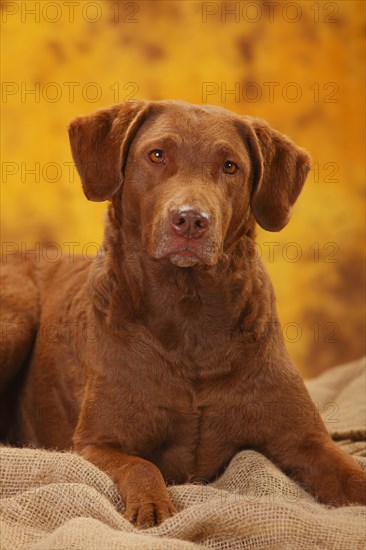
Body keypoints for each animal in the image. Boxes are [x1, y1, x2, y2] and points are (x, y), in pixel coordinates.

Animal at [0, 100, 366, 532]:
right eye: (157, 155)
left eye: (230, 166)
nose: (191, 219)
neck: (189, 312)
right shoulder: (93, 443)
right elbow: (142, 465)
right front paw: (154, 506)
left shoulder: (307, 441)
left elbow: (352, 475)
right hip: (16, 316)